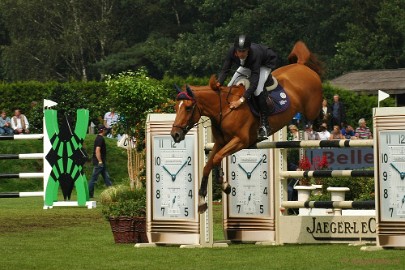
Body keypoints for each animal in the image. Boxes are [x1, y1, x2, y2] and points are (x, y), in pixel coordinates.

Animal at [170, 41, 322, 213]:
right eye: (176, 108)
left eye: (188, 108)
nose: (175, 134)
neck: (224, 109)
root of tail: (302, 66)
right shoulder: (220, 142)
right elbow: (209, 164)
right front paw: (203, 200)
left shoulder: (240, 141)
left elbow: (217, 157)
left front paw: (224, 184)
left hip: (310, 108)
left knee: (317, 112)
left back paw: (319, 123)